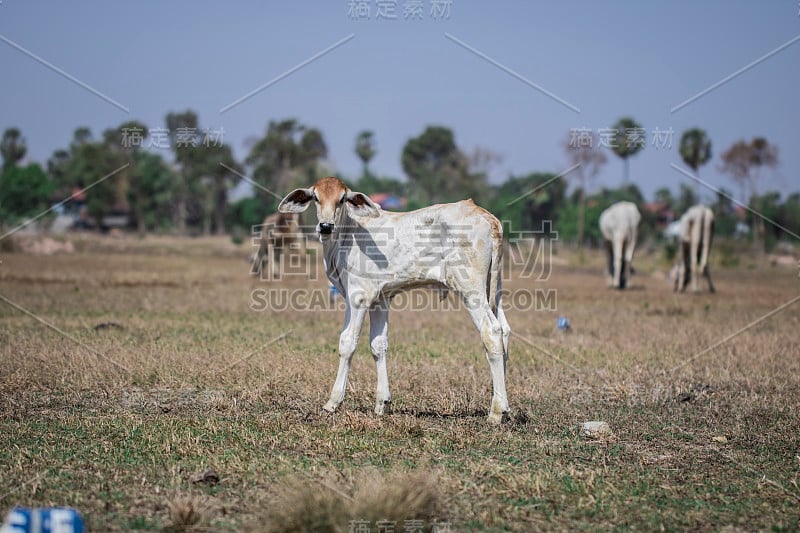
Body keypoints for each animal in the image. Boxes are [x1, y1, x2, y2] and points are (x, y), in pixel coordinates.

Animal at [278, 177, 510, 422]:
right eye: (316, 197)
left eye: (342, 199)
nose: (325, 226)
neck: (347, 235)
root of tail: (485, 215)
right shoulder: (380, 300)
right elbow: (378, 345)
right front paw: (382, 403)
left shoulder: (358, 298)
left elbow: (347, 343)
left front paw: (332, 402)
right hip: (492, 289)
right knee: (504, 331)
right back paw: (504, 406)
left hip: (470, 289)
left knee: (492, 332)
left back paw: (496, 411)